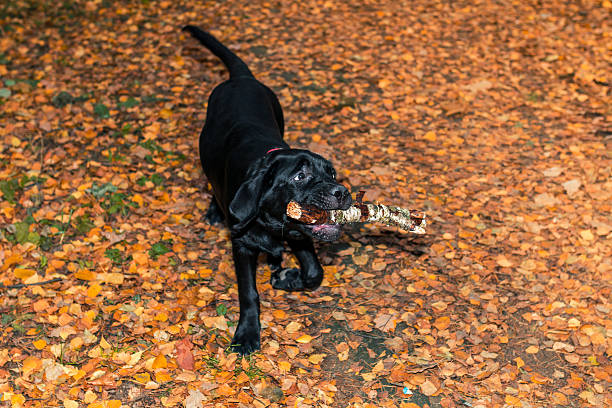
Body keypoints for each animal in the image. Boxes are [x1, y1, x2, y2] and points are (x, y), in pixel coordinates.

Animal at [184, 27, 352, 356]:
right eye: (300, 175)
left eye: (332, 173)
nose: (342, 192)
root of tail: (242, 78)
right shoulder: (241, 245)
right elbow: (249, 293)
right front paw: (247, 334)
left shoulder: (299, 234)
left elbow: (314, 273)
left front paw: (288, 277)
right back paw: (214, 211)